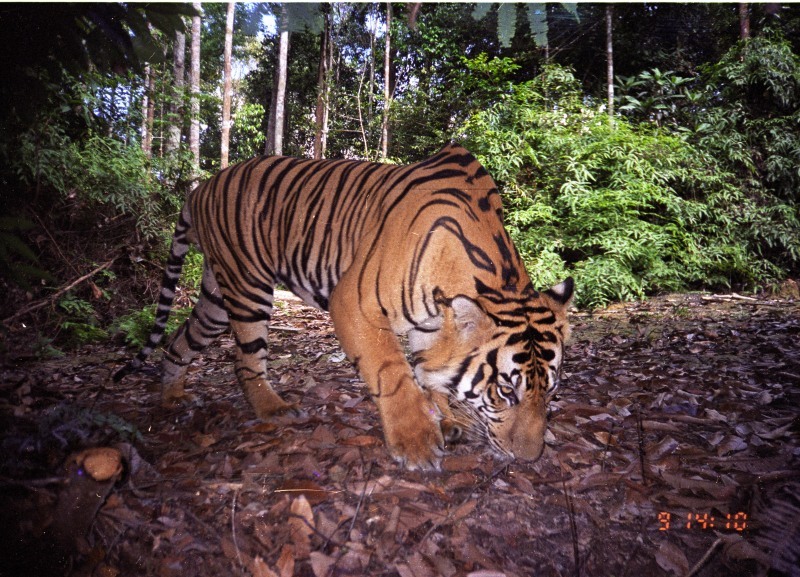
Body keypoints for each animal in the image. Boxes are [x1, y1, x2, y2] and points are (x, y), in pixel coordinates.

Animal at [115, 143, 572, 468]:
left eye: (550, 392)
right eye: (504, 393)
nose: (529, 459)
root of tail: (199, 187)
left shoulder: (429, 327)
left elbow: (431, 373)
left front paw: (448, 418)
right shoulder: (354, 302)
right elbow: (393, 372)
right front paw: (417, 443)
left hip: (214, 295)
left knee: (179, 340)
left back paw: (171, 398)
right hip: (247, 287)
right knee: (244, 359)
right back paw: (274, 408)